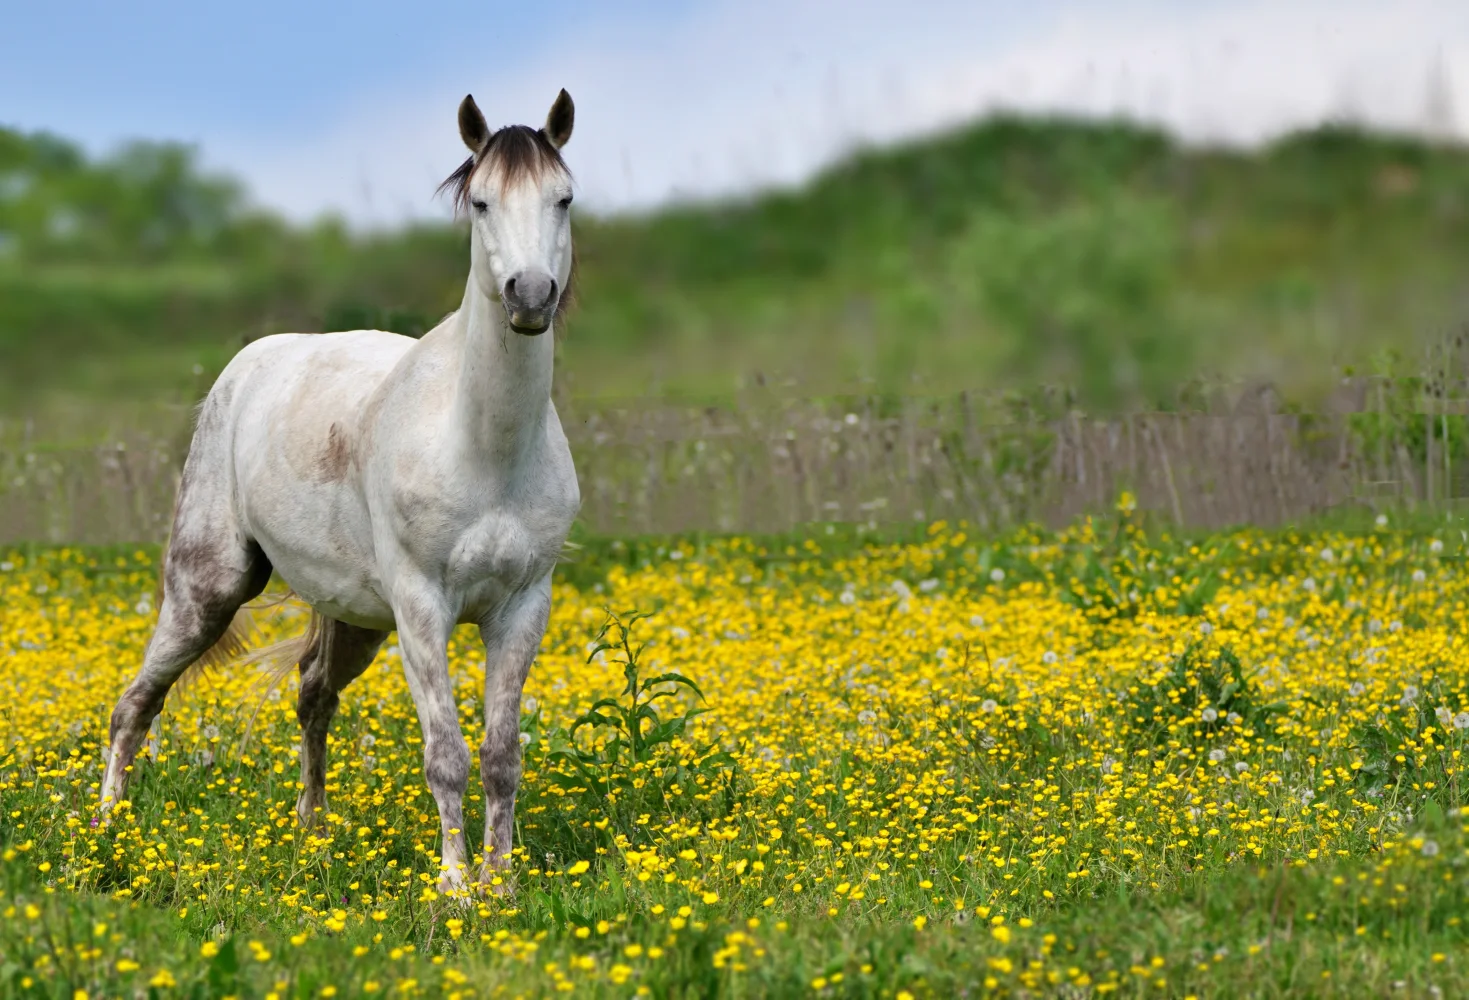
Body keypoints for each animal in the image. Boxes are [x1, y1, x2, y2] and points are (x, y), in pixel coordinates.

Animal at [99, 89, 582, 894]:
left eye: (563, 198)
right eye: (482, 202)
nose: (531, 296)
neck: (483, 449)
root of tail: (248, 367)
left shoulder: (521, 609)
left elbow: (500, 758)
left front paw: (502, 884)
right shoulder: (422, 607)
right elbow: (446, 756)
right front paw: (456, 891)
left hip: (357, 620)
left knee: (313, 694)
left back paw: (313, 834)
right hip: (207, 590)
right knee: (136, 703)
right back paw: (104, 833)